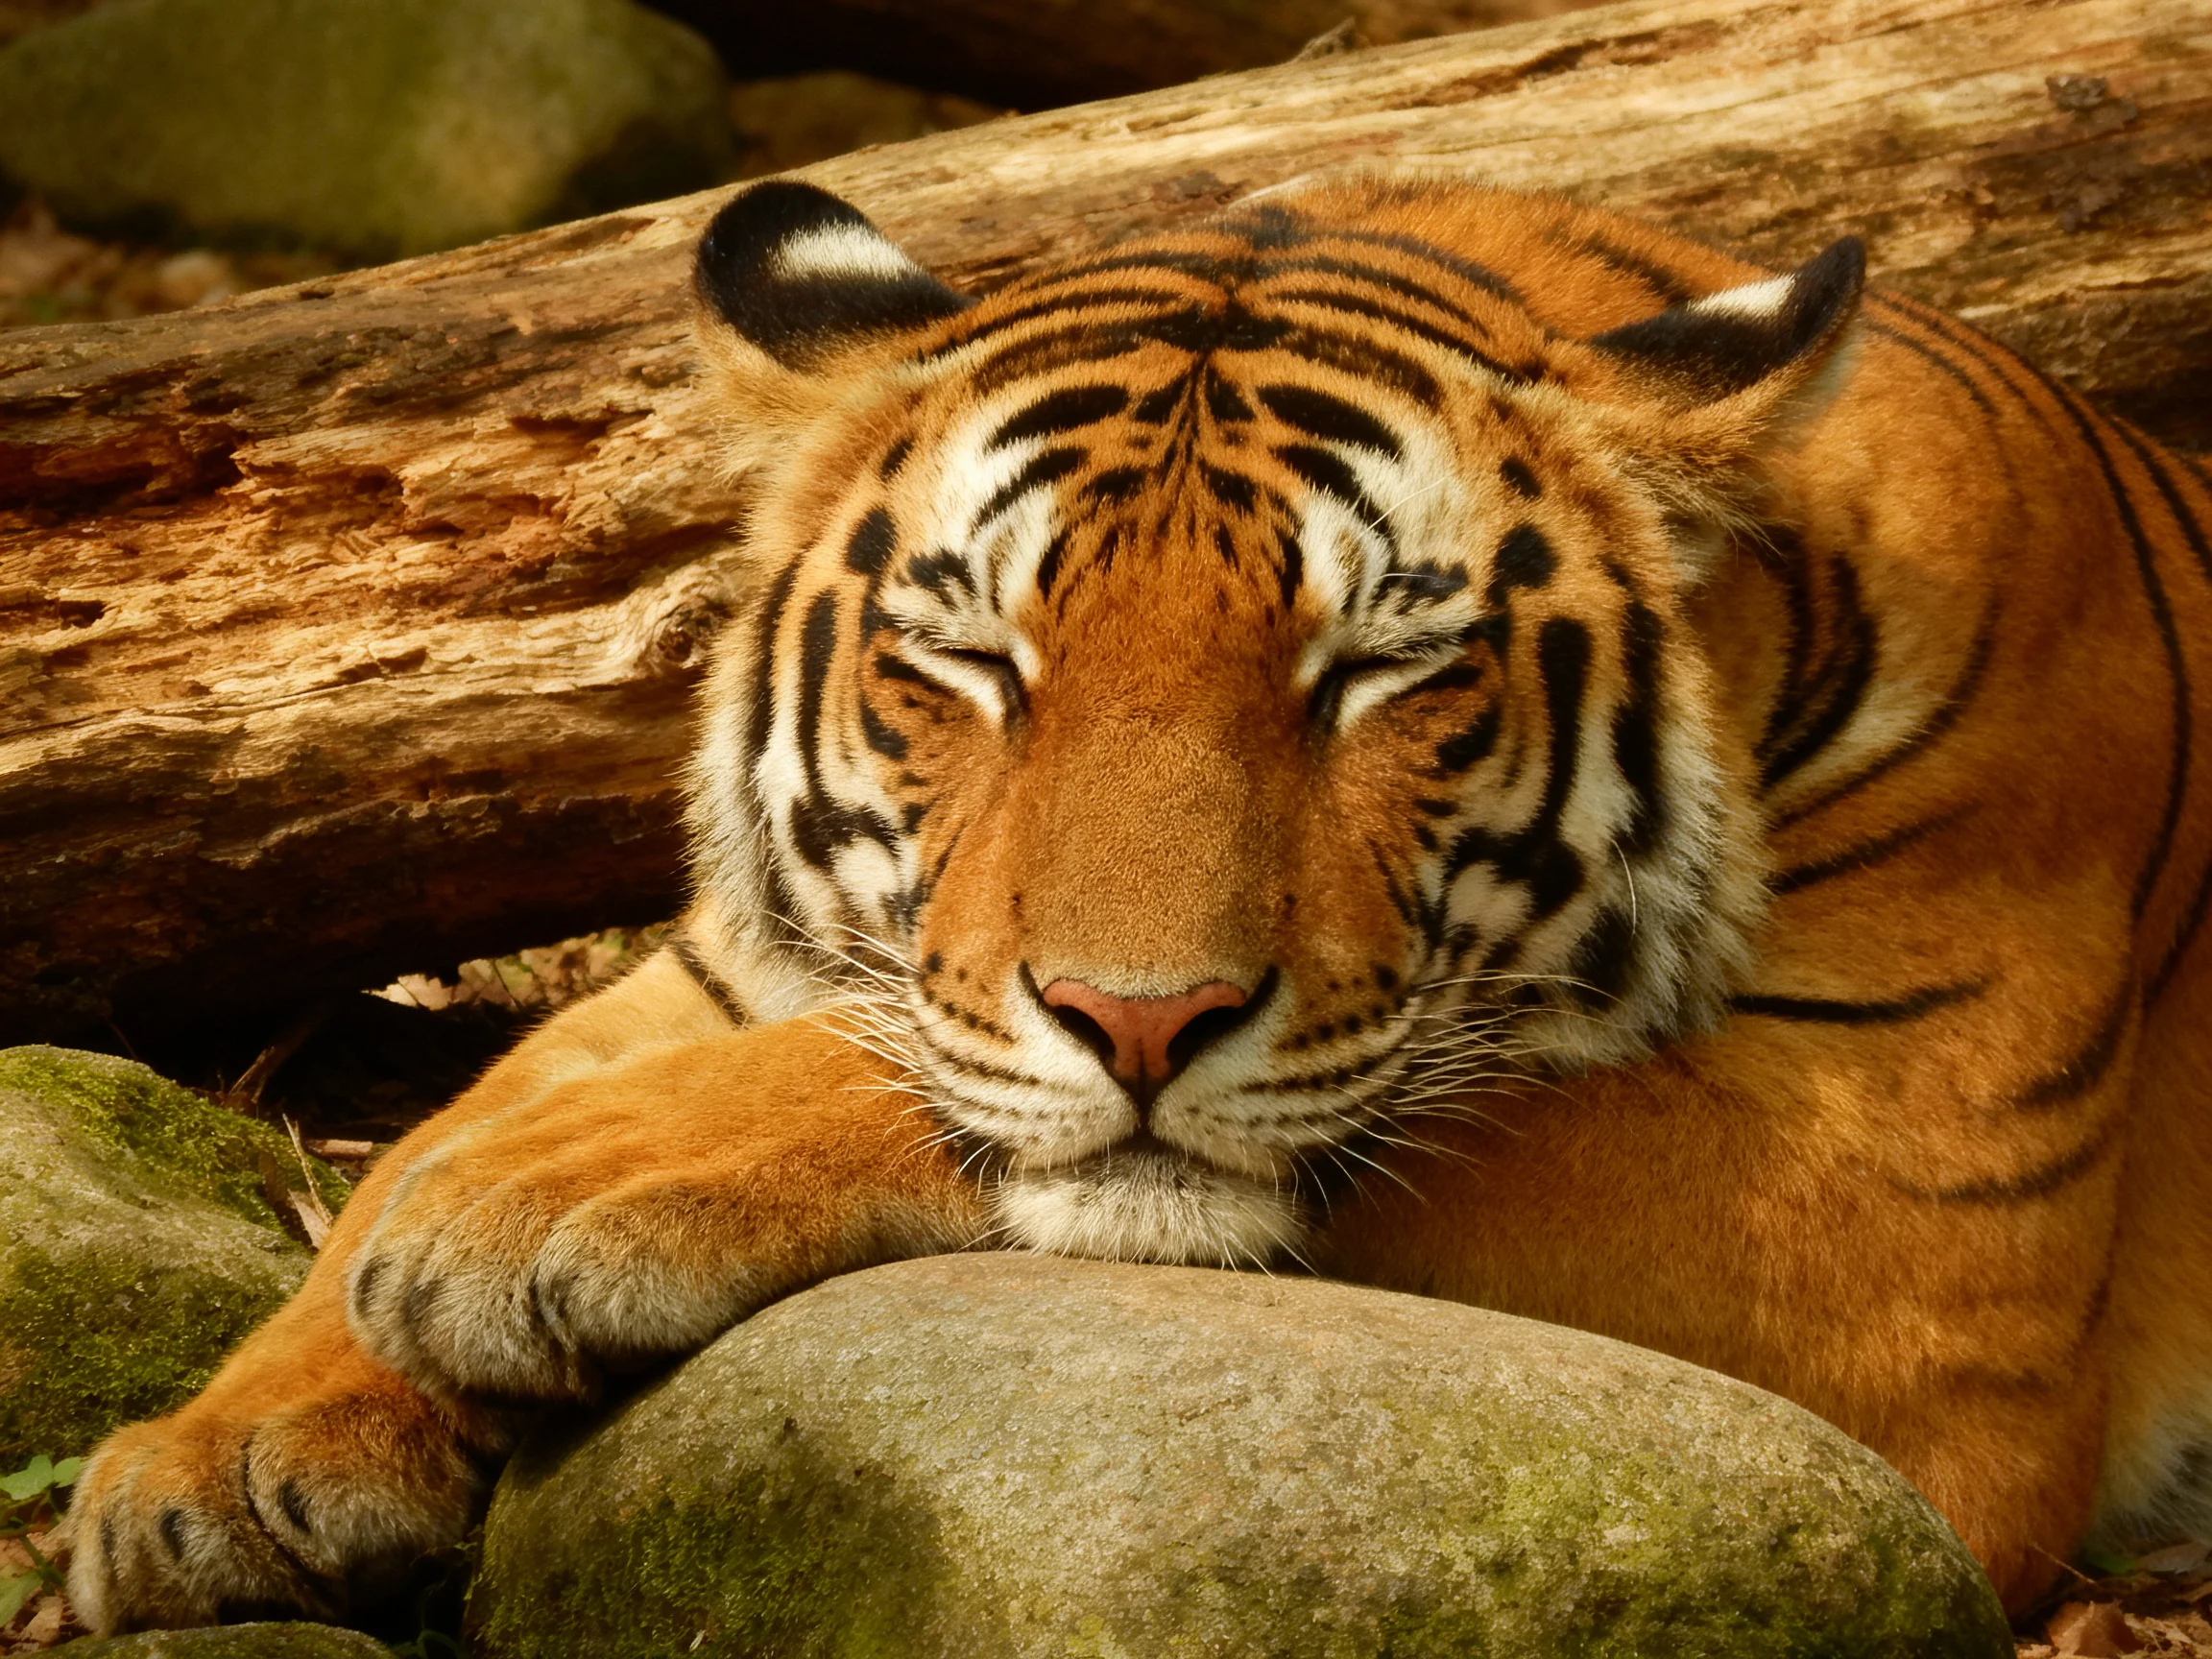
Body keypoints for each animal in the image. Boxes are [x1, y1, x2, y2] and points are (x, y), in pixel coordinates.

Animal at [60, 173, 2212, 1634]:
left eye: (1379, 670)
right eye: (972, 657)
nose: (1145, 1022)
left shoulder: (1892, 1212)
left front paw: (529, 1207)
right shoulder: (722, 959)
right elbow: (487, 1094)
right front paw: (206, 1455)